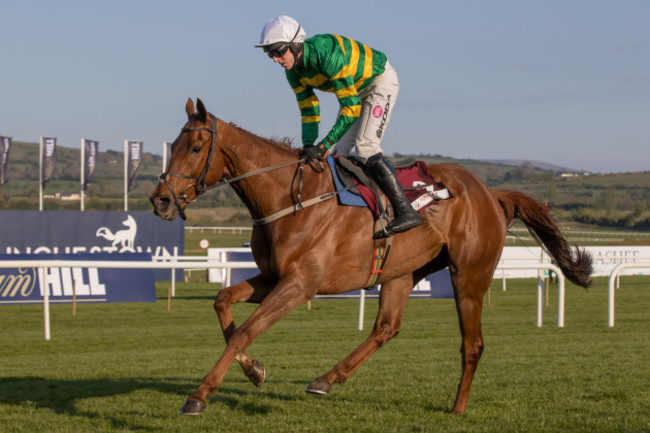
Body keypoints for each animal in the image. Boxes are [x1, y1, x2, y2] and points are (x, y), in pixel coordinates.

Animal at [149, 98, 588, 416]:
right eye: (173, 145)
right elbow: (222, 302)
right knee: (386, 328)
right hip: (401, 273)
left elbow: (245, 330)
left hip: (469, 275)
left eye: (195, 147)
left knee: (472, 344)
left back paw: (457, 408)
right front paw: (254, 369)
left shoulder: (299, 285)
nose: (160, 200)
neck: (289, 199)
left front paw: (200, 394)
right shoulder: (273, 277)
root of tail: (491, 194)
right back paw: (326, 379)